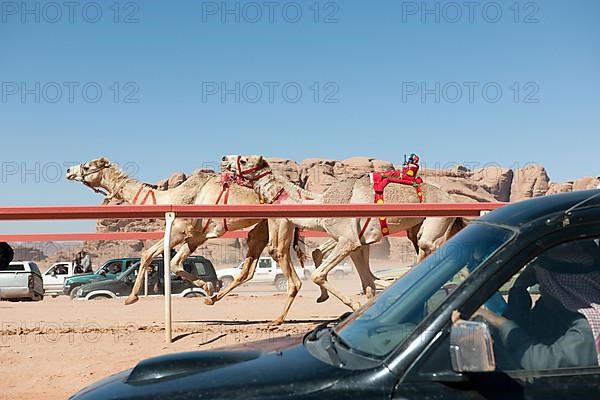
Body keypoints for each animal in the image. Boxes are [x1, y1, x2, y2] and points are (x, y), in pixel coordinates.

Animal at [66, 156, 304, 322]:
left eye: (87, 167)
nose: (69, 170)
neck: (173, 197)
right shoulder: (196, 237)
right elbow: (172, 262)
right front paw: (206, 287)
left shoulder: (181, 230)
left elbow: (148, 253)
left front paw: (131, 297)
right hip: (261, 227)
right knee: (249, 268)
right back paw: (213, 299)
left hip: (280, 223)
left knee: (284, 263)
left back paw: (278, 320)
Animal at [223, 155, 462, 310]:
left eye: (244, 160)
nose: (224, 158)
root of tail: (450, 198)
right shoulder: (357, 243)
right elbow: (368, 283)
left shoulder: (348, 241)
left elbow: (319, 275)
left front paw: (353, 304)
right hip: (421, 227)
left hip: (436, 223)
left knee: (429, 248)